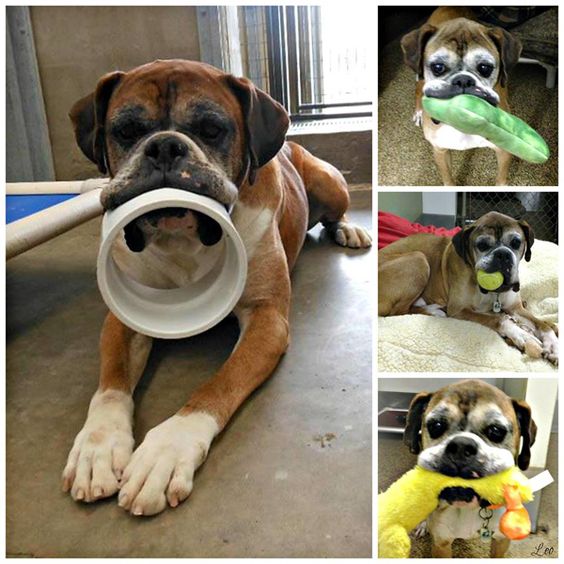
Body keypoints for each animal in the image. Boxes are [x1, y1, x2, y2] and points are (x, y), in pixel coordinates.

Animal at [61, 58, 372, 516]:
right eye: (127, 130)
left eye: (210, 129)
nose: (164, 147)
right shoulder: (123, 321)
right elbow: (111, 386)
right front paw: (97, 447)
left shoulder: (266, 321)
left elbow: (216, 385)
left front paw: (168, 450)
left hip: (329, 183)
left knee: (337, 211)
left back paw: (348, 230)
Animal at [378, 212, 560, 366]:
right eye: (482, 245)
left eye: (516, 242)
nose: (502, 254)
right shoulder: (459, 310)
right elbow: (497, 319)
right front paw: (522, 334)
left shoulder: (515, 308)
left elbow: (542, 324)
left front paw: (553, 345)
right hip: (419, 259)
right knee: (398, 311)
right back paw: (434, 310)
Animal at [404, 6, 524, 185]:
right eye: (438, 67)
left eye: (485, 68)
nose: (463, 80)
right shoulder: (440, 151)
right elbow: (448, 180)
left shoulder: (504, 151)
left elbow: (501, 180)